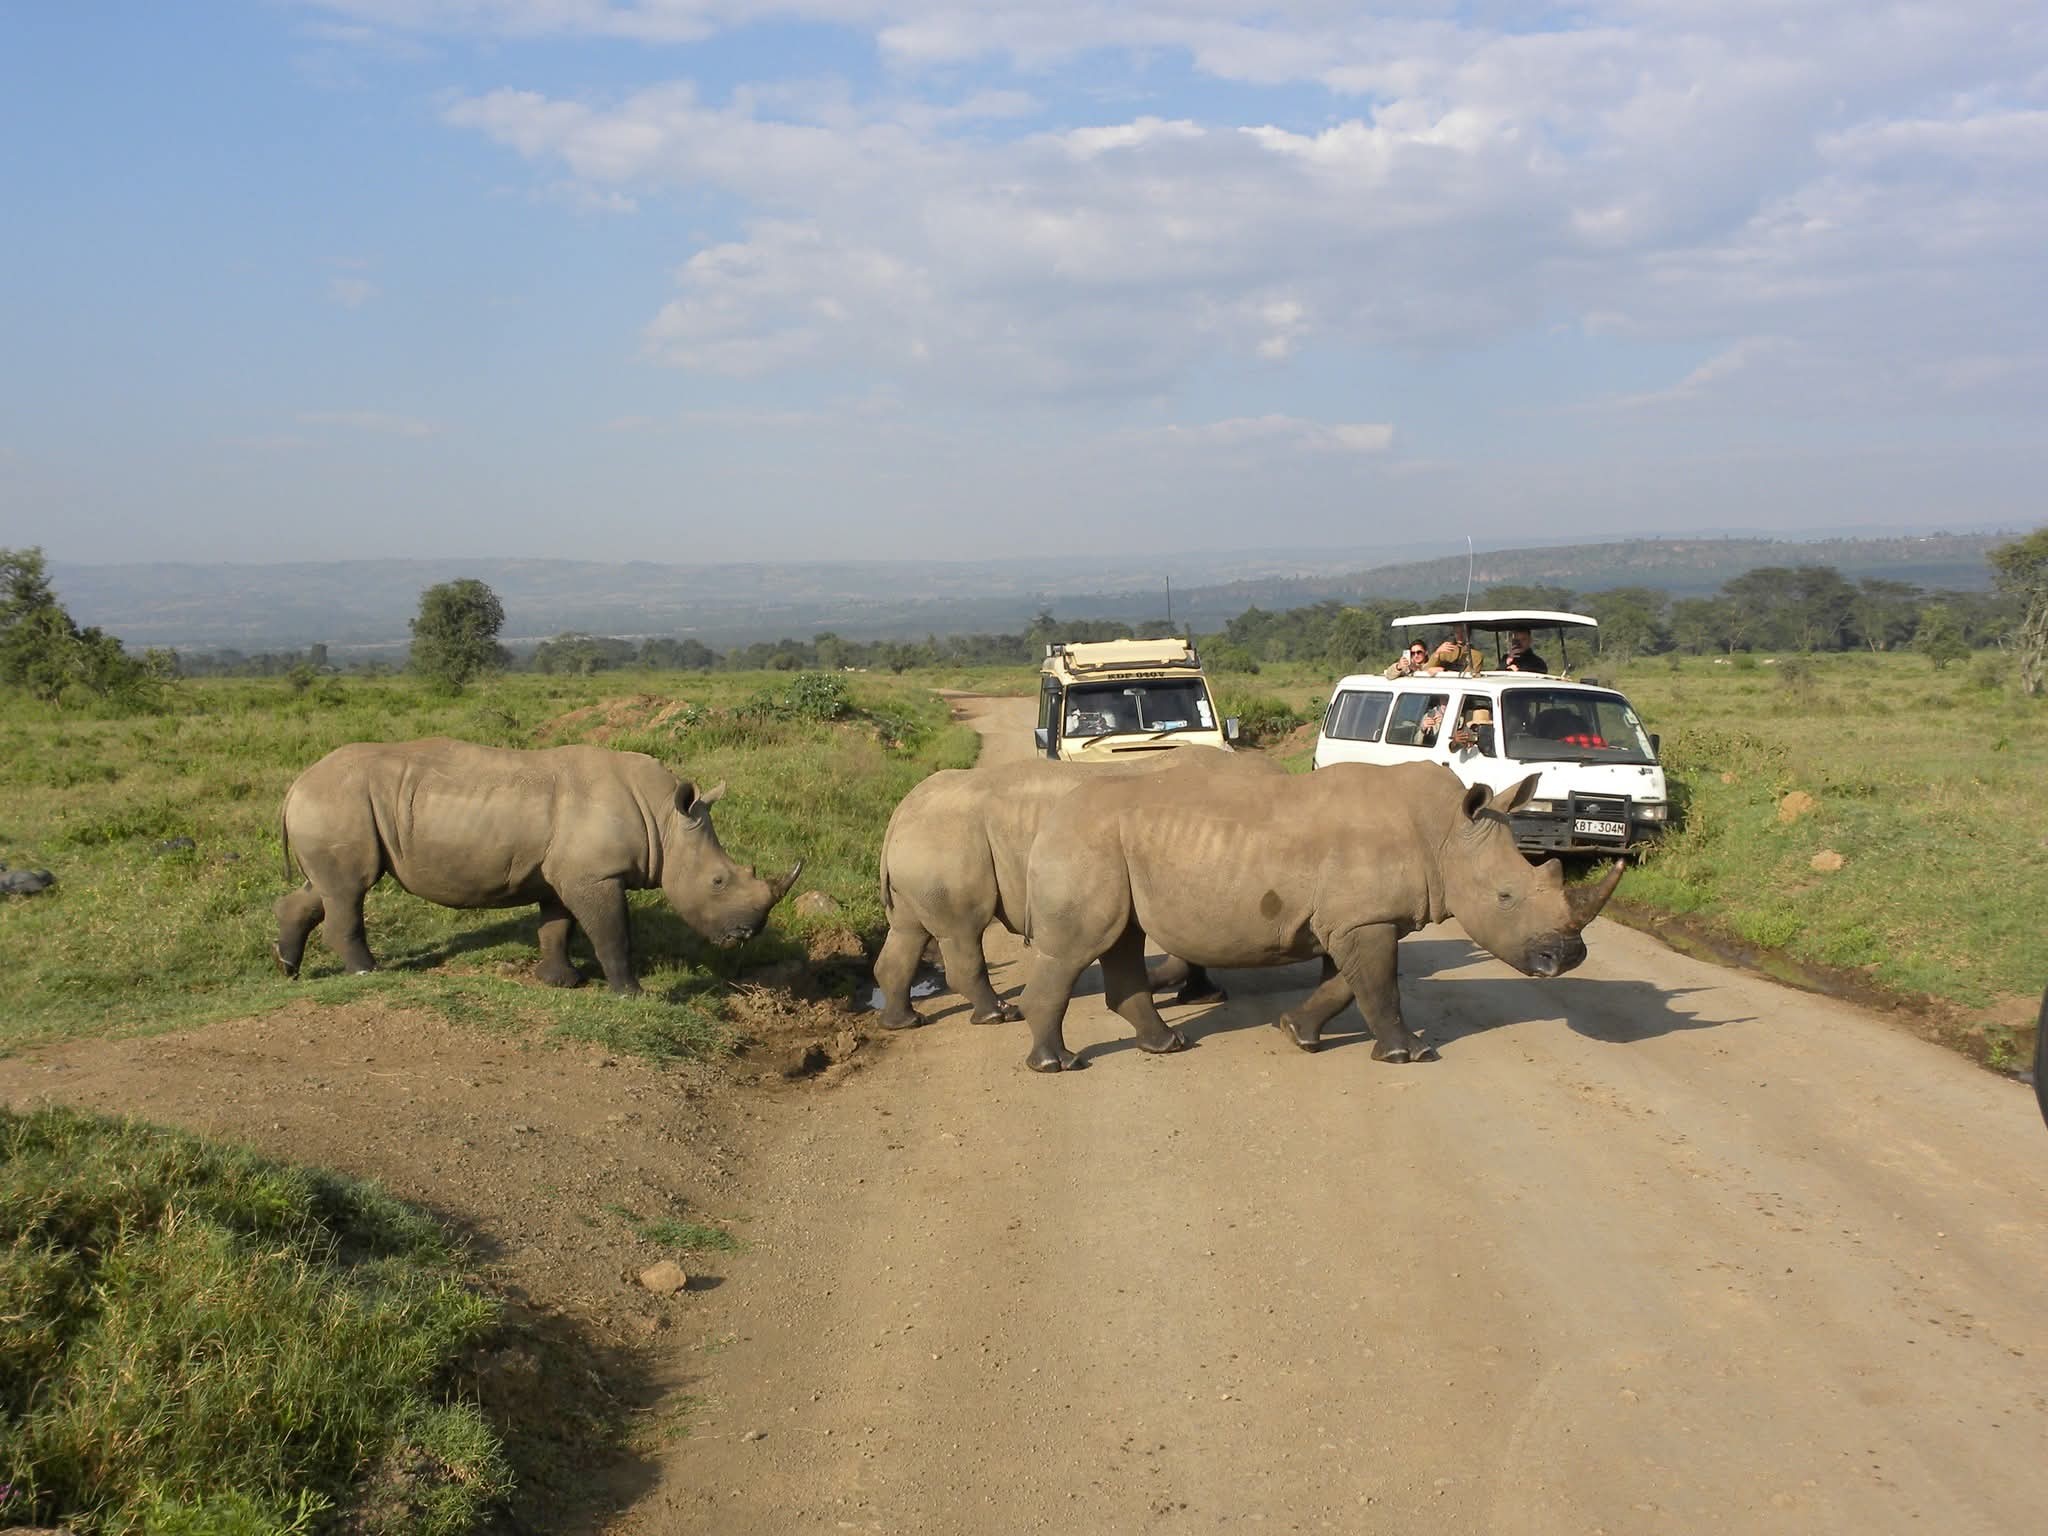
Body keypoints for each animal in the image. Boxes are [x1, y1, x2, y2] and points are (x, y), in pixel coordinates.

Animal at [274, 738, 801, 994]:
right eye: (717, 881)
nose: (748, 934)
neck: (665, 819)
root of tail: (296, 784)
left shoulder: (565, 873)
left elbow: (557, 927)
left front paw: (562, 981)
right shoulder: (595, 874)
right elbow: (613, 933)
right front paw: (631, 993)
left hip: (335, 805)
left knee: (323, 888)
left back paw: (288, 969)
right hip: (339, 801)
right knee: (351, 888)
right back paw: (367, 974)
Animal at [874, 754, 1261, 1030]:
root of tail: (902, 809)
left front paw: (1202, 995)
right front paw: (1182, 990)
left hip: (926, 841)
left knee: (909, 929)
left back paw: (904, 1022)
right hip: (946, 840)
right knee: (964, 929)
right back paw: (998, 1015)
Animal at [1016, 761, 1623, 1072]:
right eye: (1504, 897)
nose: (1569, 958)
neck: (1447, 833)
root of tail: (1053, 813)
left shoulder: (1352, 918)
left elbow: (1346, 986)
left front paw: (1297, 1033)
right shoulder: (1365, 920)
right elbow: (1379, 987)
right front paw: (1410, 1054)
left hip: (1107, 844)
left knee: (1122, 937)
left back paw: (1166, 1046)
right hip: (1084, 842)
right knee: (1077, 949)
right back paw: (1057, 1064)